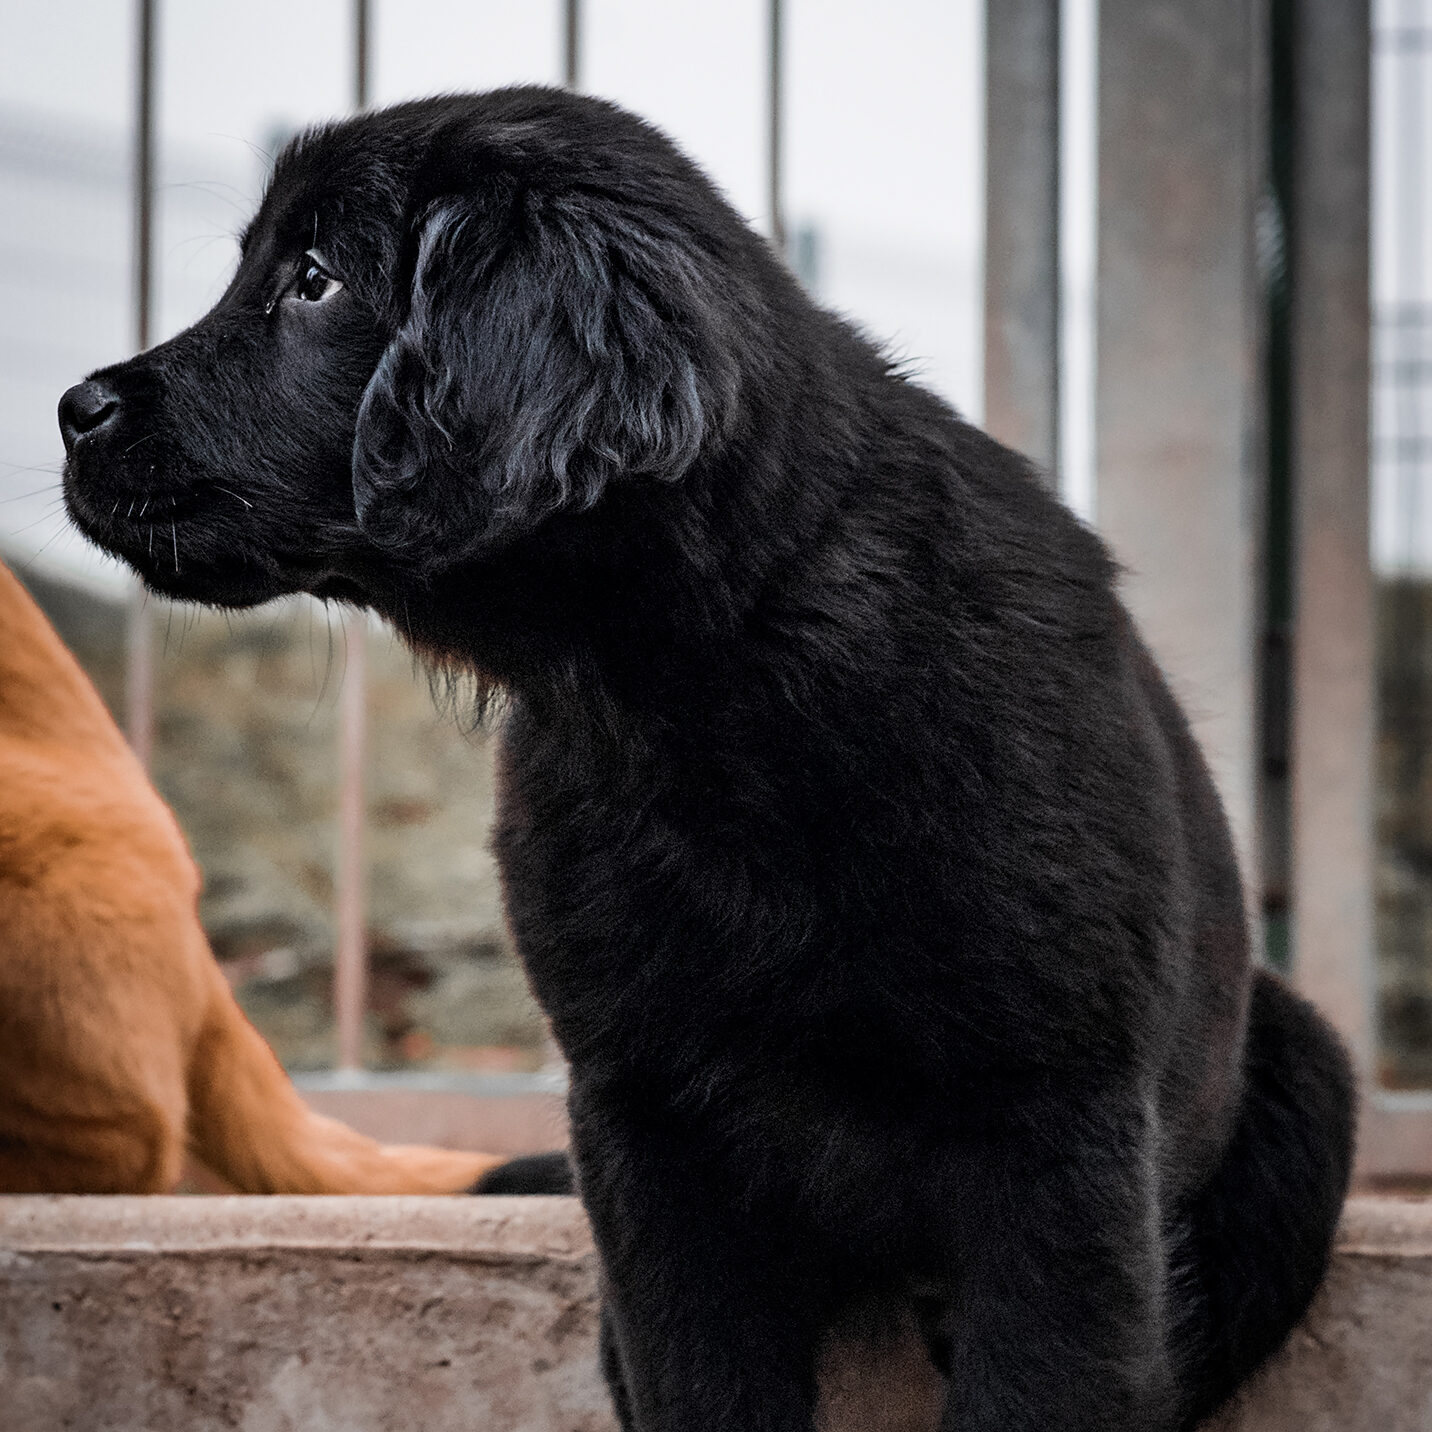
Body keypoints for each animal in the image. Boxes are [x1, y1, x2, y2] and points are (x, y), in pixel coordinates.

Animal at [58, 92, 1351, 1432]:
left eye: (311, 281)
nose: (72, 409)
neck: (711, 679)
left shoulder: (1061, 1127)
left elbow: (1045, 1380)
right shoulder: (645, 1128)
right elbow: (703, 1380)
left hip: (1295, 1095)